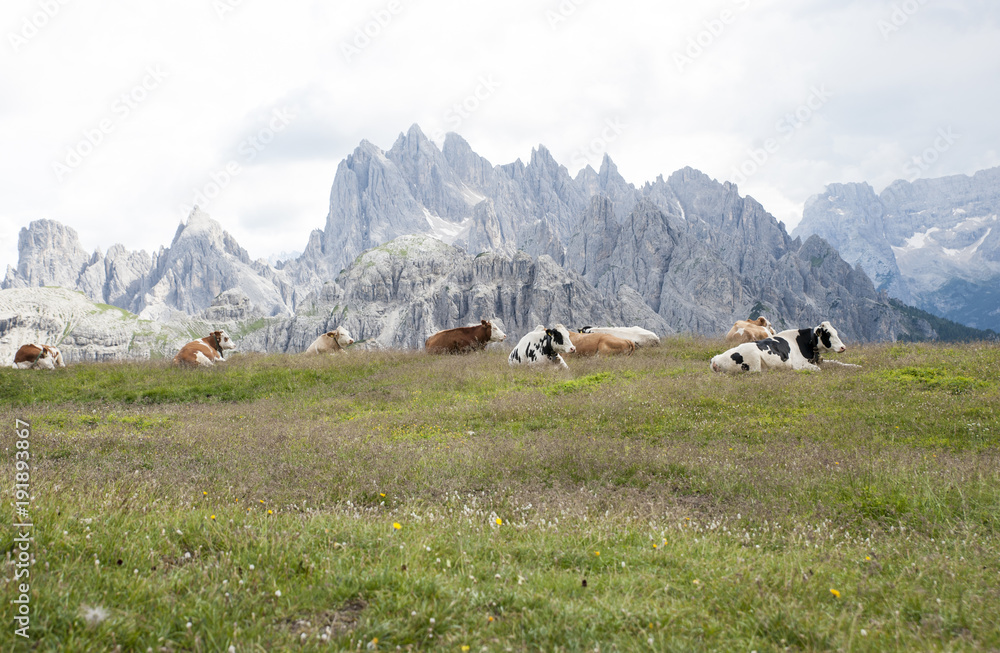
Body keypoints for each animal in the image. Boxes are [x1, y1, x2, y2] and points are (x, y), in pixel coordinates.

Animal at [708, 320, 848, 372]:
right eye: (828, 334)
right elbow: (818, 369)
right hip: (753, 359)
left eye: (836, 332)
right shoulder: (798, 364)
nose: (843, 347)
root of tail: (715, 359)